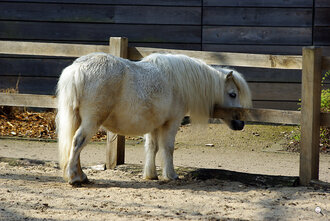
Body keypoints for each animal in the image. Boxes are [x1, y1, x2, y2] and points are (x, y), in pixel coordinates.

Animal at [56, 52, 253, 185]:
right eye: (233, 94)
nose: (240, 123)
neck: (176, 82)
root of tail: (77, 69)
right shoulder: (171, 123)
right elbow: (168, 148)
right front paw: (171, 175)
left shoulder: (154, 125)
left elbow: (152, 147)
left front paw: (151, 175)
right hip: (91, 121)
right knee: (78, 142)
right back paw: (74, 178)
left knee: (75, 145)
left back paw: (81, 175)